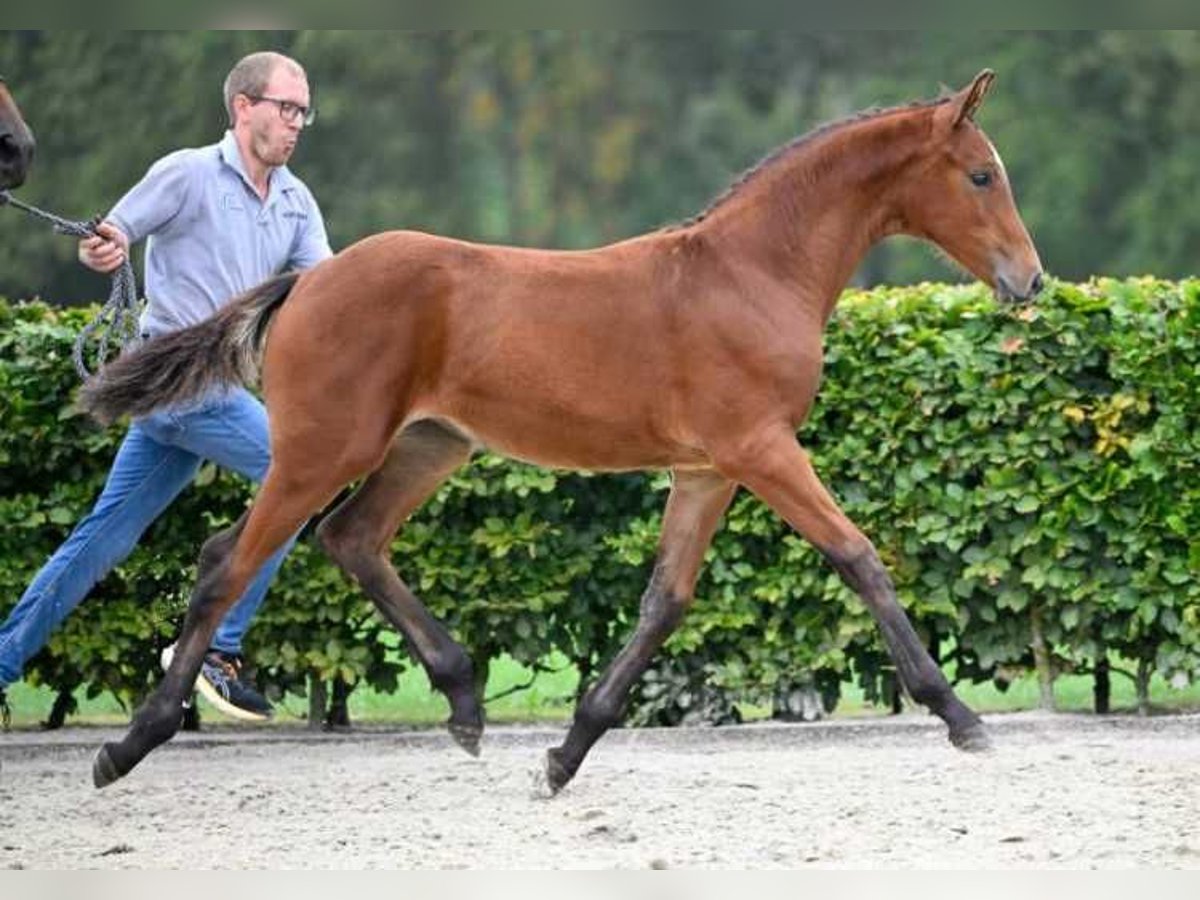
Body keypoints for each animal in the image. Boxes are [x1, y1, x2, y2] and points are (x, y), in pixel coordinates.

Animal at [84, 72, 1041, 796]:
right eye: (981, 176)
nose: (1029, 280)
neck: (751, 272)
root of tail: (304, 283)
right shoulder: (760, 450)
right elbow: (859, 557)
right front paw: (960, 717)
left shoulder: (707, 470)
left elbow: (664, 602)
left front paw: (565, 752)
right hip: (325, 450)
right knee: (228, 562)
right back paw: (127, 746)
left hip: (428, 445)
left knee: (350, 538)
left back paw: (466, 703)